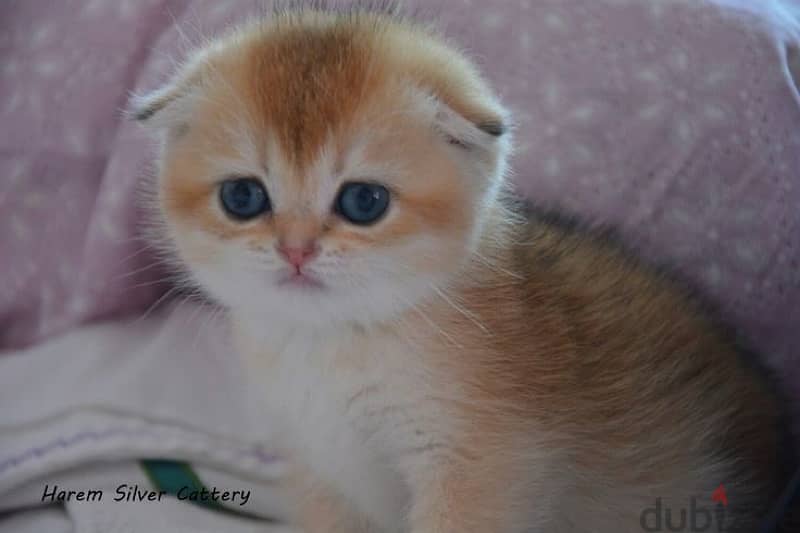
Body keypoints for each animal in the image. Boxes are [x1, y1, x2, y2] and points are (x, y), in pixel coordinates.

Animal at [131, 4, 788, 532]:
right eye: (243, 197)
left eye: (363, 202)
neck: (336, 343)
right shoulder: (322, 466)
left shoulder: (479, 470)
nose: (295, 250)